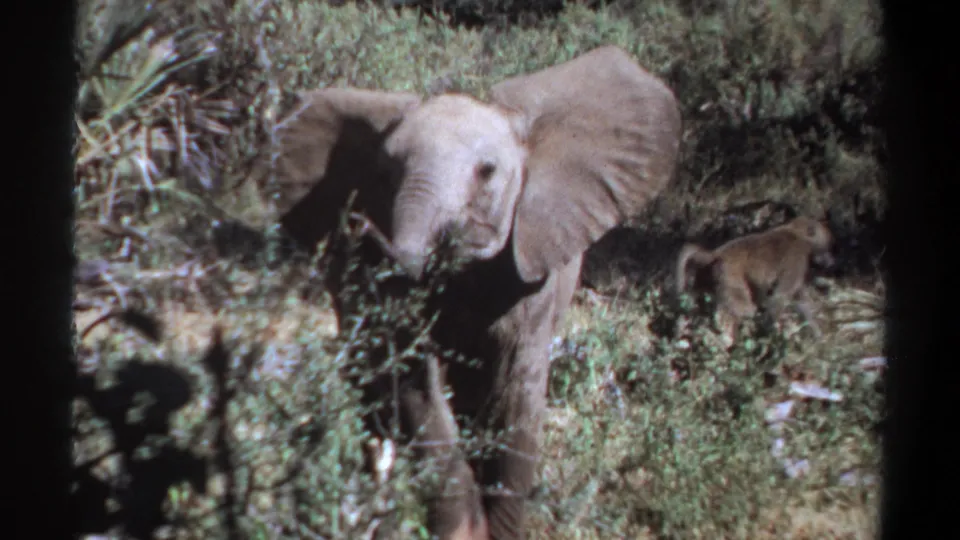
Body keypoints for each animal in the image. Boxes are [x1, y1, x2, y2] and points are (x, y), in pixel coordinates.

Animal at [266, 45, 683, 540]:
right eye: (384, 174)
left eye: (487, 172)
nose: (362, 231)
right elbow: (413, 386)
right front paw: (463, 529)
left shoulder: (530, 273)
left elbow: (516, 390)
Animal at [675, 216, 835, 345]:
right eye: (827, 245)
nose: (830, 261)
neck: (797, 234)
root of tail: (718, 253)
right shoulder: (796, 258)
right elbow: (780, 296)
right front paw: (770, 333)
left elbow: (798, 299)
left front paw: (816, 332)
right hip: (729, 276)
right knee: (745, 308)